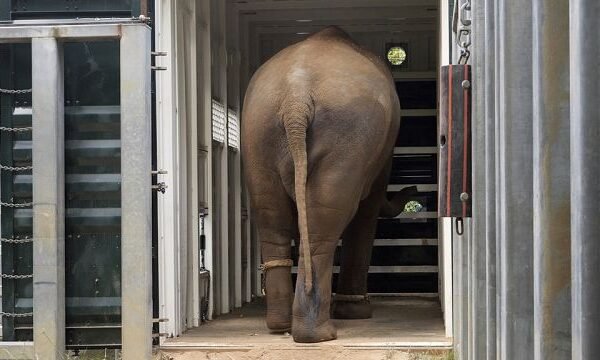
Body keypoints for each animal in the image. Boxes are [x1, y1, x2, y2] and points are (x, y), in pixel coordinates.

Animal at [241, 26, 414, 344]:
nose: (413, 191)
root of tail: (296, 97)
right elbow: (367, 210)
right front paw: (357, 313)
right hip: (345, 135)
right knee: (325, 223)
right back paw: (318, 334)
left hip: (258, 132)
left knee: (271, 215)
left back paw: (280, 326)